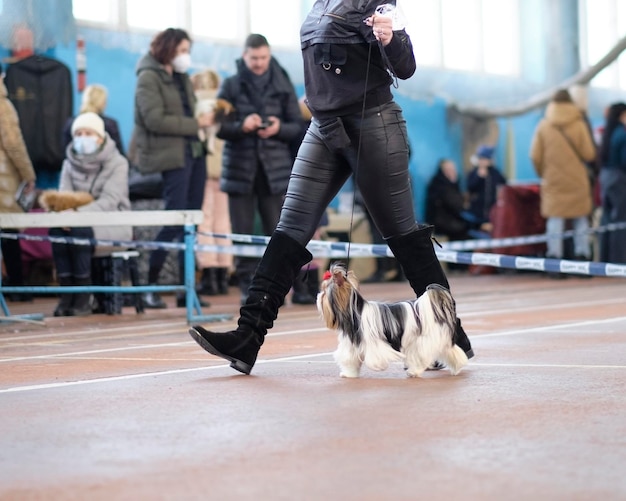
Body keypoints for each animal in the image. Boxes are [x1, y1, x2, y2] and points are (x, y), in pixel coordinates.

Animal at [316, 264, 468, 376]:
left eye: (324, 294)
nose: (318, 296)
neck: (355, 313)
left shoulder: (373, 342)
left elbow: (375, 357)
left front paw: (378, 366)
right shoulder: (351, 345)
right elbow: (350, 360)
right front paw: (349, 374)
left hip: (422, 341)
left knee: (421, 358)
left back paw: (414, 371)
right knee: (451, 351)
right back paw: (458, 366)